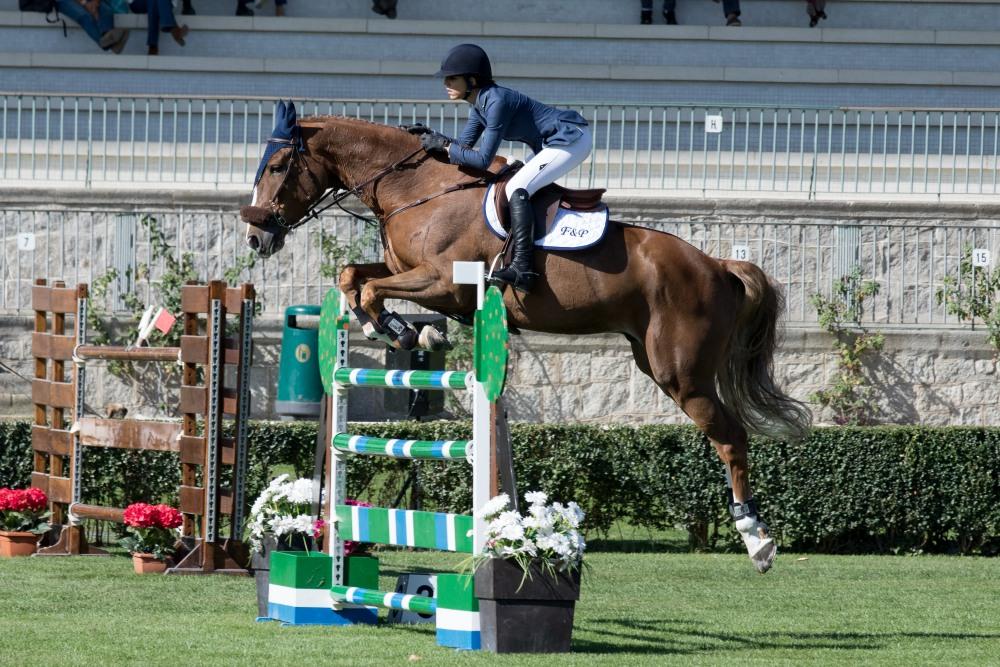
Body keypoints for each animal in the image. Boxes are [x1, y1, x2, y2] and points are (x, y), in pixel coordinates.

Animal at [242, 104, 812, 576]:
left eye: (277, 167)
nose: (255, 237)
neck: (415, 189)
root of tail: (716, 265)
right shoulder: (412, 274)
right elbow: (353, 276)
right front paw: (396, 328)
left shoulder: (445, 282)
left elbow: (371, 286)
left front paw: (405, 328)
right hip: (654, 361)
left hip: (682, 374)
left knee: (731, 436)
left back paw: (756, 539)